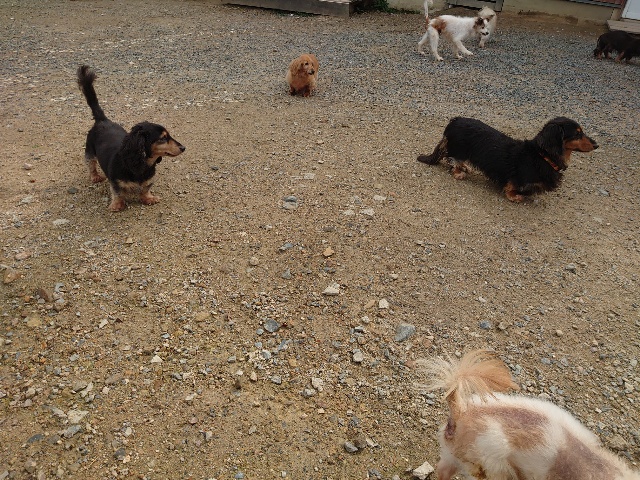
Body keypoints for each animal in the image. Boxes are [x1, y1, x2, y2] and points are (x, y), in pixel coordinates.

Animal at [77, 65, 185, 212]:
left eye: (169, 135)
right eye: (163, 138)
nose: (183, 148)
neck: (140, 163)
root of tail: (102, 120)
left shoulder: (148, 180)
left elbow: (146, 188)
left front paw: (148, 198)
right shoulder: (115, 181)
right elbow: (117, 192)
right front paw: (117, 205)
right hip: (89, 152)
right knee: (91, 164)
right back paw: (95, 176)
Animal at [417, 117, 598, 202]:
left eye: (581, 132)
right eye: (577, 134)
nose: (597, 145)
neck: (543, 156)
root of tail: (454, 122)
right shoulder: (516, 179)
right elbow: (511, 187)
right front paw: (515, 196)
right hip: (459, 150)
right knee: (453, 160)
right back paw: (459, 172)